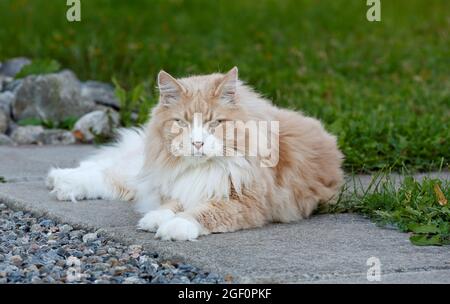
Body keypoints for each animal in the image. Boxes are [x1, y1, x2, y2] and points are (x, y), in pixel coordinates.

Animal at [45, 66, 342, 240]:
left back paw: (62, 183)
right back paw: (61, 179)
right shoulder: (179, 184)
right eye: (183, 122)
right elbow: (173, 204)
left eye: (214, 123)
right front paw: (156, 219)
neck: (204, 168)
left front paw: (173, 227)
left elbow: (200, 211)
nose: (197, 143)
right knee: (108, 171)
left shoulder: (245, 202)